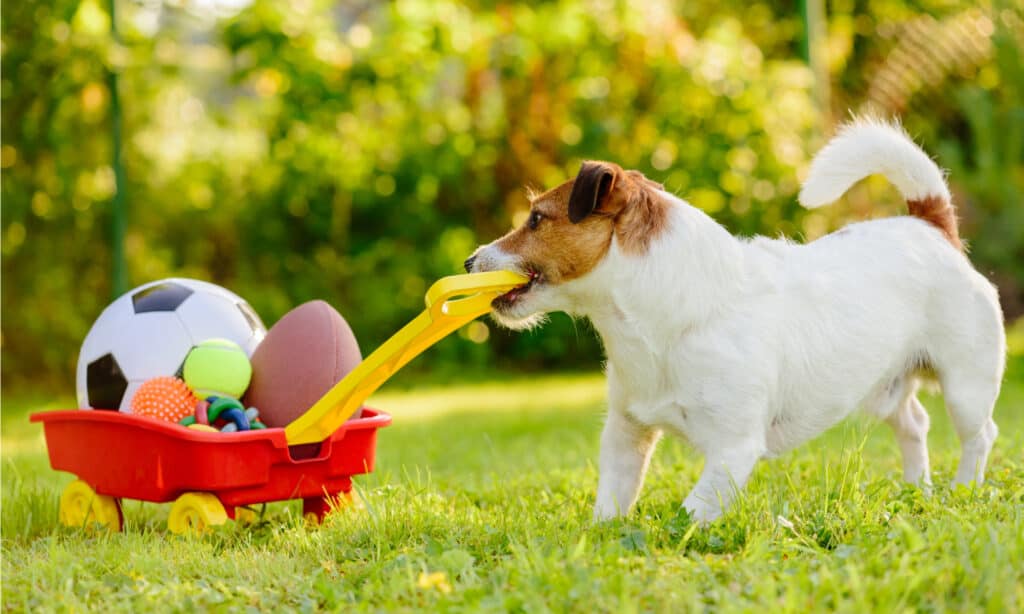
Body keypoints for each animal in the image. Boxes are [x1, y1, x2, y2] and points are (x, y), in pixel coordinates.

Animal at [466, 119, 1007, 521]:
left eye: (536, 219)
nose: (470, 262)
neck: (660, 318)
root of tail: (930, 226)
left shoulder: (733, 448)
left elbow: (692, 511)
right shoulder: (625, 433)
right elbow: (613, 500)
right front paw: (602, 538)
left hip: (966, 384)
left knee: (979, 435)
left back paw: (962, 489)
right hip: (882, 386)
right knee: (914, 423)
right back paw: (918, 488)